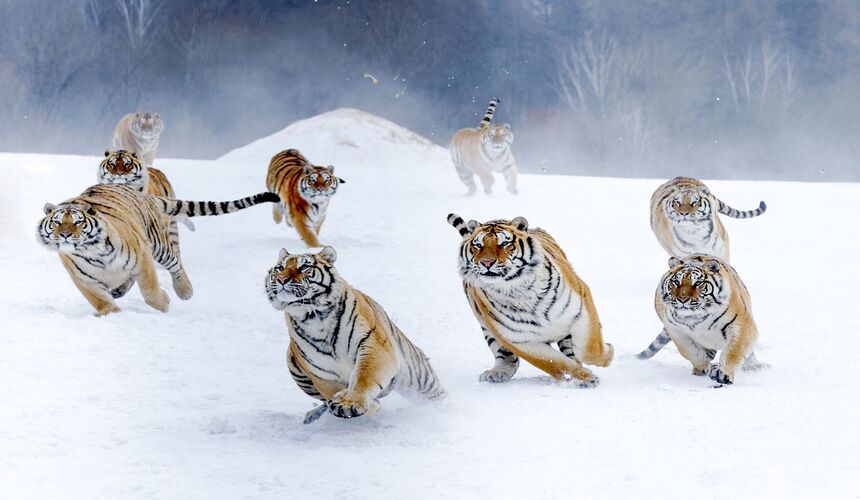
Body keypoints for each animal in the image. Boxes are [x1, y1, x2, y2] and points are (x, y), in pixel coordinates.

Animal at [38, 184, 279, 316]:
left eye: (78, 222)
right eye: (57, 222)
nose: (65, 234)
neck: (91, 252)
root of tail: (142, 194)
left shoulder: (142, 258)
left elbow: (150, 292)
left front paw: (165, 303)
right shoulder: (84, 279)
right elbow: (100, 300)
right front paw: (110, 314)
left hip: (159, 245)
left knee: (176, 264)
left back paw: (185, 291)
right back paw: (119, 291)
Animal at [264, 246, 446, 422]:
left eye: (303, 267)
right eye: (280, 268)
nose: (281, 279)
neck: (312, 314)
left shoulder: (374, 345)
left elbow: (364, 377)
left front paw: (349, 402)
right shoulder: (321, 373)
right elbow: (330, 393)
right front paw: (355, 403)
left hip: (419, 377)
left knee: (438, 395)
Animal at [447, 214, 613, 387]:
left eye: (504, 243)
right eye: (478, 245)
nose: (486, 262)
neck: (515, 288)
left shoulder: (580, 304)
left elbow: (590, 349)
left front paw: (608, 352)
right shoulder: (518, 340)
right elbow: (555, 364)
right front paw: (584, 377)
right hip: (488, 330)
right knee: (506, 357)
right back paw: (497, 373)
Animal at [636, 254, 768, 385]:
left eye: (698, 283)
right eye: (676, 282)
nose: (682, 299)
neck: (695, 317)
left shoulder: (742, 325)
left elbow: (734, 351)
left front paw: (723, 374)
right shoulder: (675, 331)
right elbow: (690, 352)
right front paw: (703, 368)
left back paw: (754, 366)